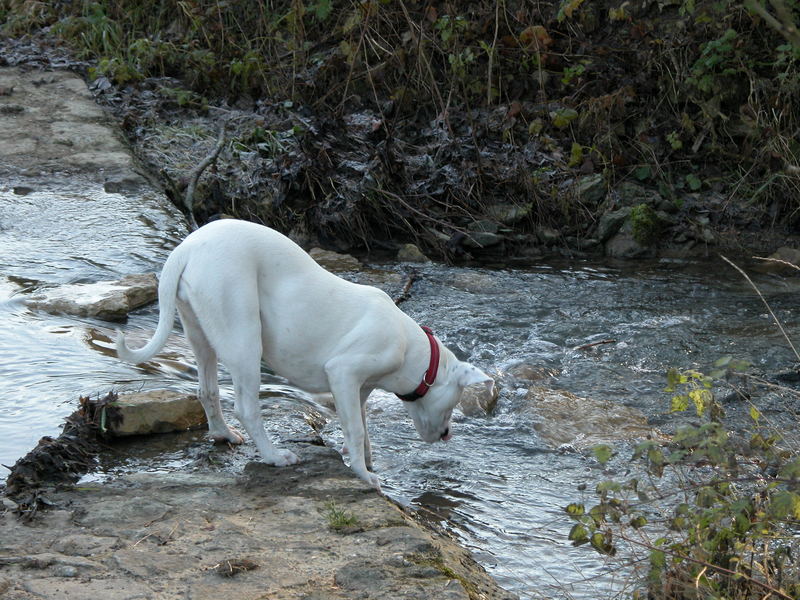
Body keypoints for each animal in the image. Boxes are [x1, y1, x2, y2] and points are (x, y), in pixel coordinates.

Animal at [117, 219, 494, 488]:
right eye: (454, 402)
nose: (446, 435)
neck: (413, 351)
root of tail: (188, 249)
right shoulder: (343, 373)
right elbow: (357, 430)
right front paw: (364, 475)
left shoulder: (358, 389)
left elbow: (360, 426)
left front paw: (363, 458)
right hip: (244, 337)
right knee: (246, 406)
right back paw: (273, 455)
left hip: (200, 334)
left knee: (206, 390)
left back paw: (224, 434)